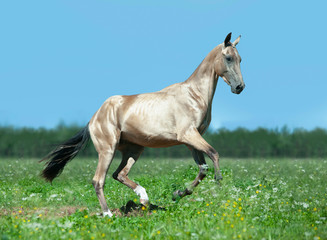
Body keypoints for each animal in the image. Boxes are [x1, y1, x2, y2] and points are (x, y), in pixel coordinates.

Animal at [40, 32, 246, 218]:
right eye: (228, 58)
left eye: (240, 59)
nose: (239, 87)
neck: (194, 95)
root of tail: (93, 118)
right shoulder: (188, 135)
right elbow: (214, 153)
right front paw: (218, 181)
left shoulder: (191, 140)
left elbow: (202, 168)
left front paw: (178, 193)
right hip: (107, 150)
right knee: (99, 180)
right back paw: (108, 213)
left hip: (133, 150)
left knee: (119, 174)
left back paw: (143, 198)